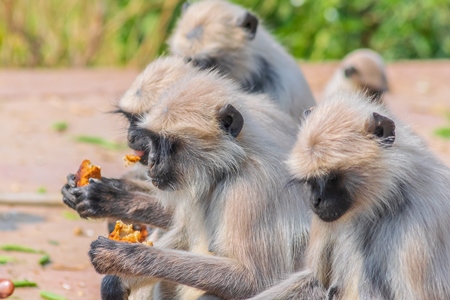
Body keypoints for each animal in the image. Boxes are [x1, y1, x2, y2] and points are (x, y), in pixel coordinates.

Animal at [88, 67, 322, 298]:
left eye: (168, 144)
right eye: (153, 141)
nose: (153, 161)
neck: (233, 166)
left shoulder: (250, 191)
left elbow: (254, 280)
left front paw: (122, 255)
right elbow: (184, 232)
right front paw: (116, 280)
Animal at [248, 92, 450, 298]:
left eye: (331, 178)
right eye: (312, 180)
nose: (316, 201)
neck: (383, 200)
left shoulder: (420, 220)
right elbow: (316, 279)